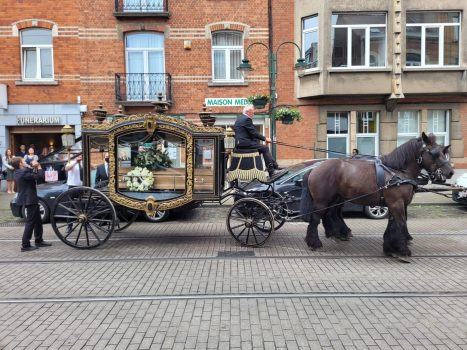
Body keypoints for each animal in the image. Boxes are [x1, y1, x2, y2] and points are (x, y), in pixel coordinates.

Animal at [302, 133, 456, 262]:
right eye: (434, 153)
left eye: (443, 151)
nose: (450, 172)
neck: (398, 172)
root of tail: (315, 169)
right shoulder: (397, 203)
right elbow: (401, 223)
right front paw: (402, 250)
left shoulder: (394, 204)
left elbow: (393, 224)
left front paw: (390, 248)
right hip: (322, 201)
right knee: (315, 219)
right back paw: (314, 243)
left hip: (335, 199)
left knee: (330, 214)